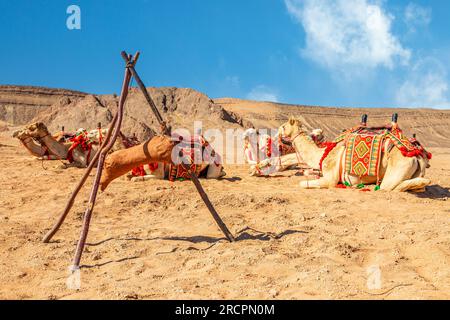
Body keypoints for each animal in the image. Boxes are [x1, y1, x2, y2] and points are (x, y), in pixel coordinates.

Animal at [280, 118, 430, 191]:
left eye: (283, 126)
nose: (279, 135)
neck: (321, 154)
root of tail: (417, 154)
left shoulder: (331, 178)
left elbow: (302, 183)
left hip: (398, 166)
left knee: (389, 187)